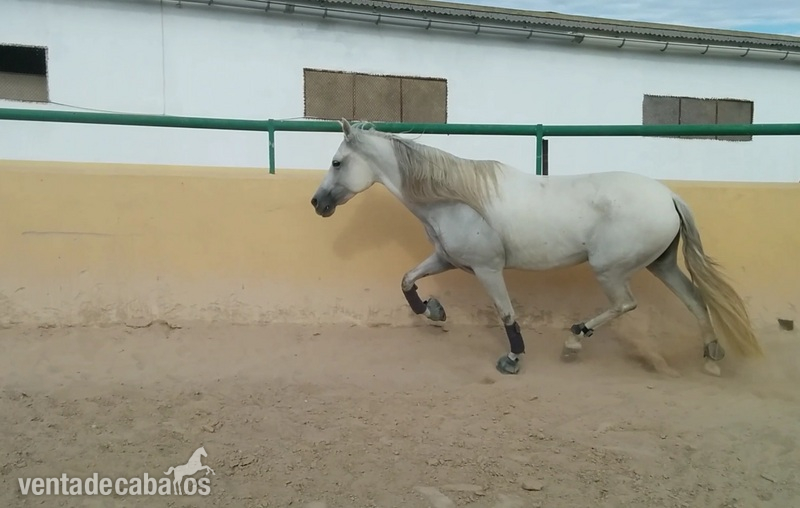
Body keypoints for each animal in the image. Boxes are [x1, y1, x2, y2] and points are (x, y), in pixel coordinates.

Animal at [310, 119, 763, 376]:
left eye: (336, 162)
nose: (318, 203)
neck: (455, 198)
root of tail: (669, 196)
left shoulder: (488, 269)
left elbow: (506, 313)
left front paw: (513, 359)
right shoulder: (446, 259)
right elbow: (407, 280)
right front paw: (434, 311)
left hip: (610, 268)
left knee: (626, 304)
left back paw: (575, 340)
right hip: (662, 265)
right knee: (695, 300)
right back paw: (711, 357)